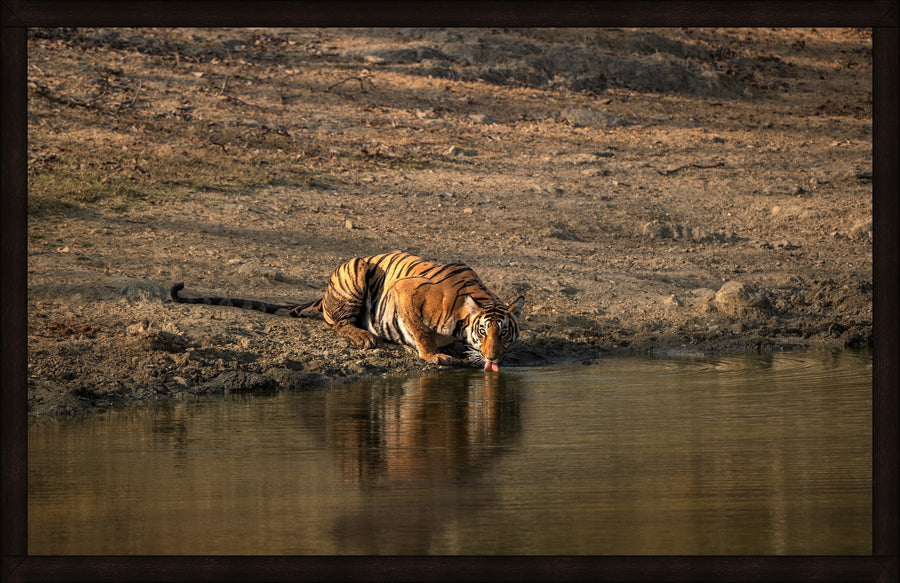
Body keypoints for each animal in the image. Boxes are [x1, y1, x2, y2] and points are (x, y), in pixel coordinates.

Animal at [171, 251, 525, 371]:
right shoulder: (406, 291)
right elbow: (420, 330)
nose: (493, 357)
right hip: (356, 270)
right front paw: (433, 355)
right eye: (483, 331)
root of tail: (324, 292)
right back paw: (363, 337)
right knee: (336, 323)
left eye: (504, 333)